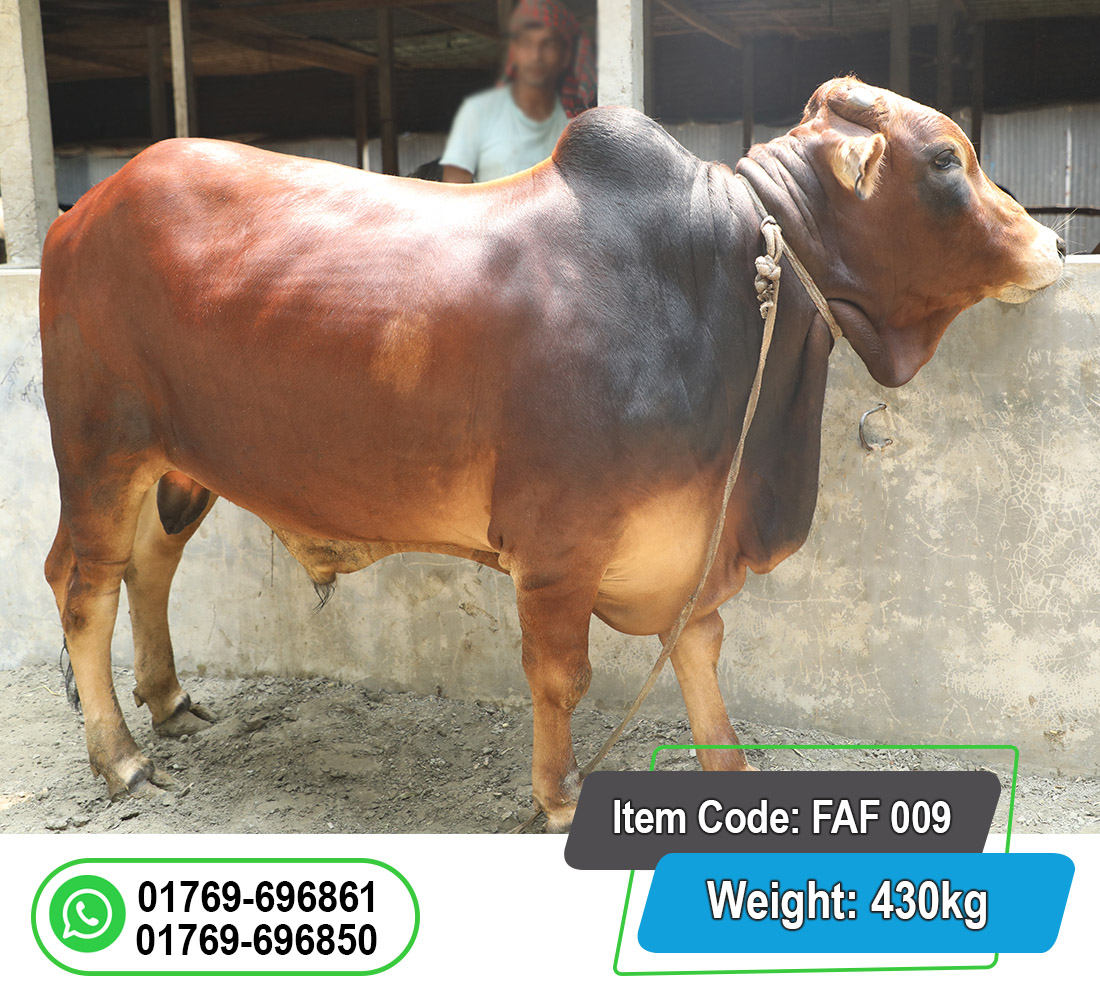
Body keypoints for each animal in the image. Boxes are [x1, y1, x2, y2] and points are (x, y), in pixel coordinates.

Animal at [40, 78, 1063, 832]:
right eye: (947, 158)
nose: (1056, 241)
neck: (723, 274)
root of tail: (79, 213)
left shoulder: (693, 532)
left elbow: (699, 650)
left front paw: (728, 771)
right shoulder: (559, 551)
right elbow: (562, 678)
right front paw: (560, 798)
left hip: (178, 466)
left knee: (147, 568)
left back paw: (170, 700)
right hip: (100, 452)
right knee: (87, 588)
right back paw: (122, 757)